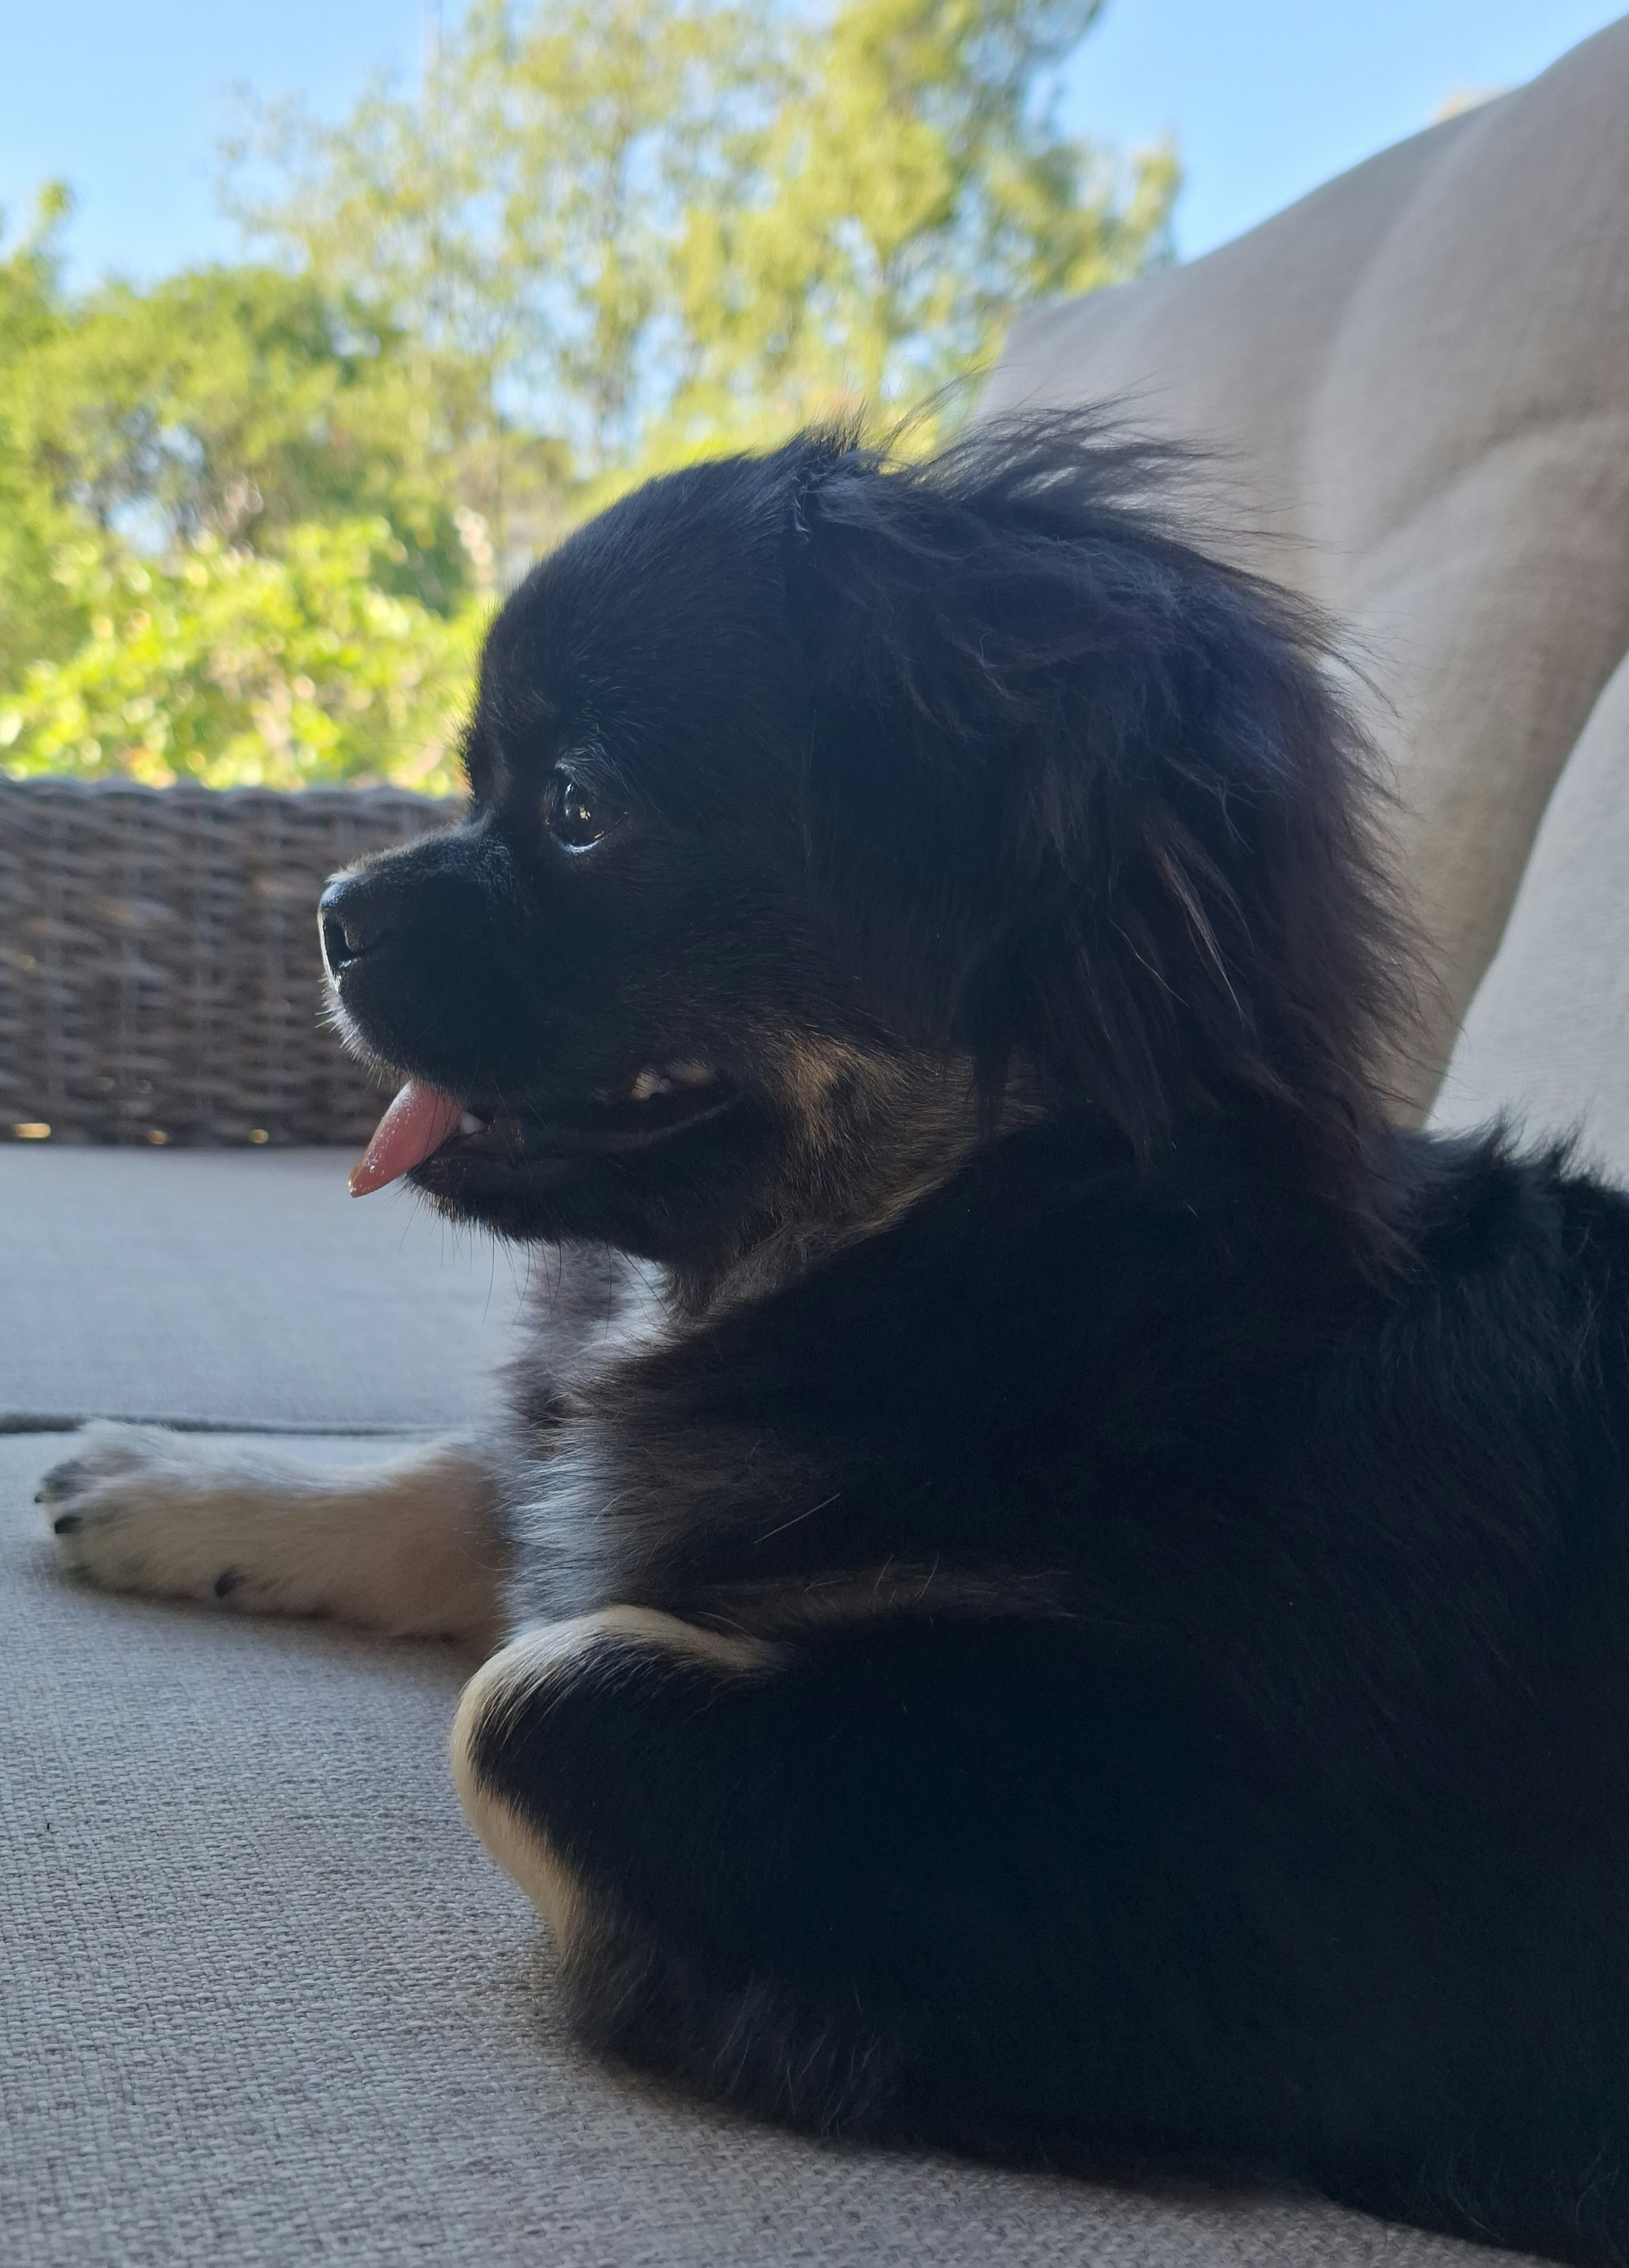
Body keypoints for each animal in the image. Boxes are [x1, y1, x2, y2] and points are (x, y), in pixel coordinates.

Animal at [40, 418, 1629, 2266]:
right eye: (471, 785)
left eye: (577, 811)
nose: (334, 906)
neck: (977, 1248)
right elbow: (486, 1488)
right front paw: (164, 1479)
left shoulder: (1204, 1892)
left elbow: (529, 1681)